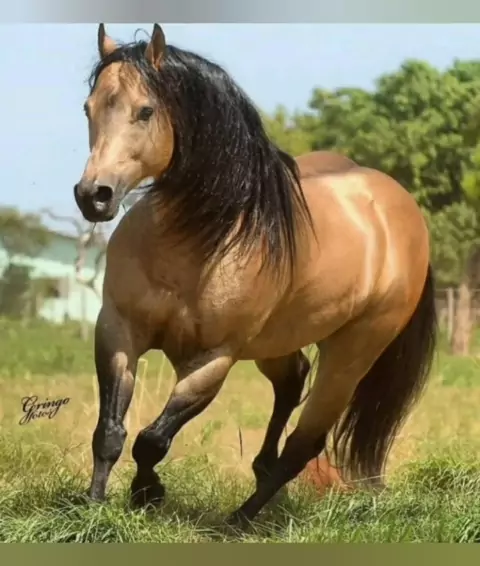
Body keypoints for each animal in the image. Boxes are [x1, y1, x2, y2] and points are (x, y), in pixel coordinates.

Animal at [73, 23, 437, 527]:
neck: (200, 238)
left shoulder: (212, 360)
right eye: (88, 108)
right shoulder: (117, 332)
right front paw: (94, 507)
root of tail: (403, 213)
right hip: (278, 343)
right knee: (292, 382)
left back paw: (240, 521)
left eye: (145, 110)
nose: (94, 196)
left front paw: (147, 494)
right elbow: (109, 432)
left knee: (304, 444)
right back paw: (258, 476)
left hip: (352, 354)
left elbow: (152, 439)